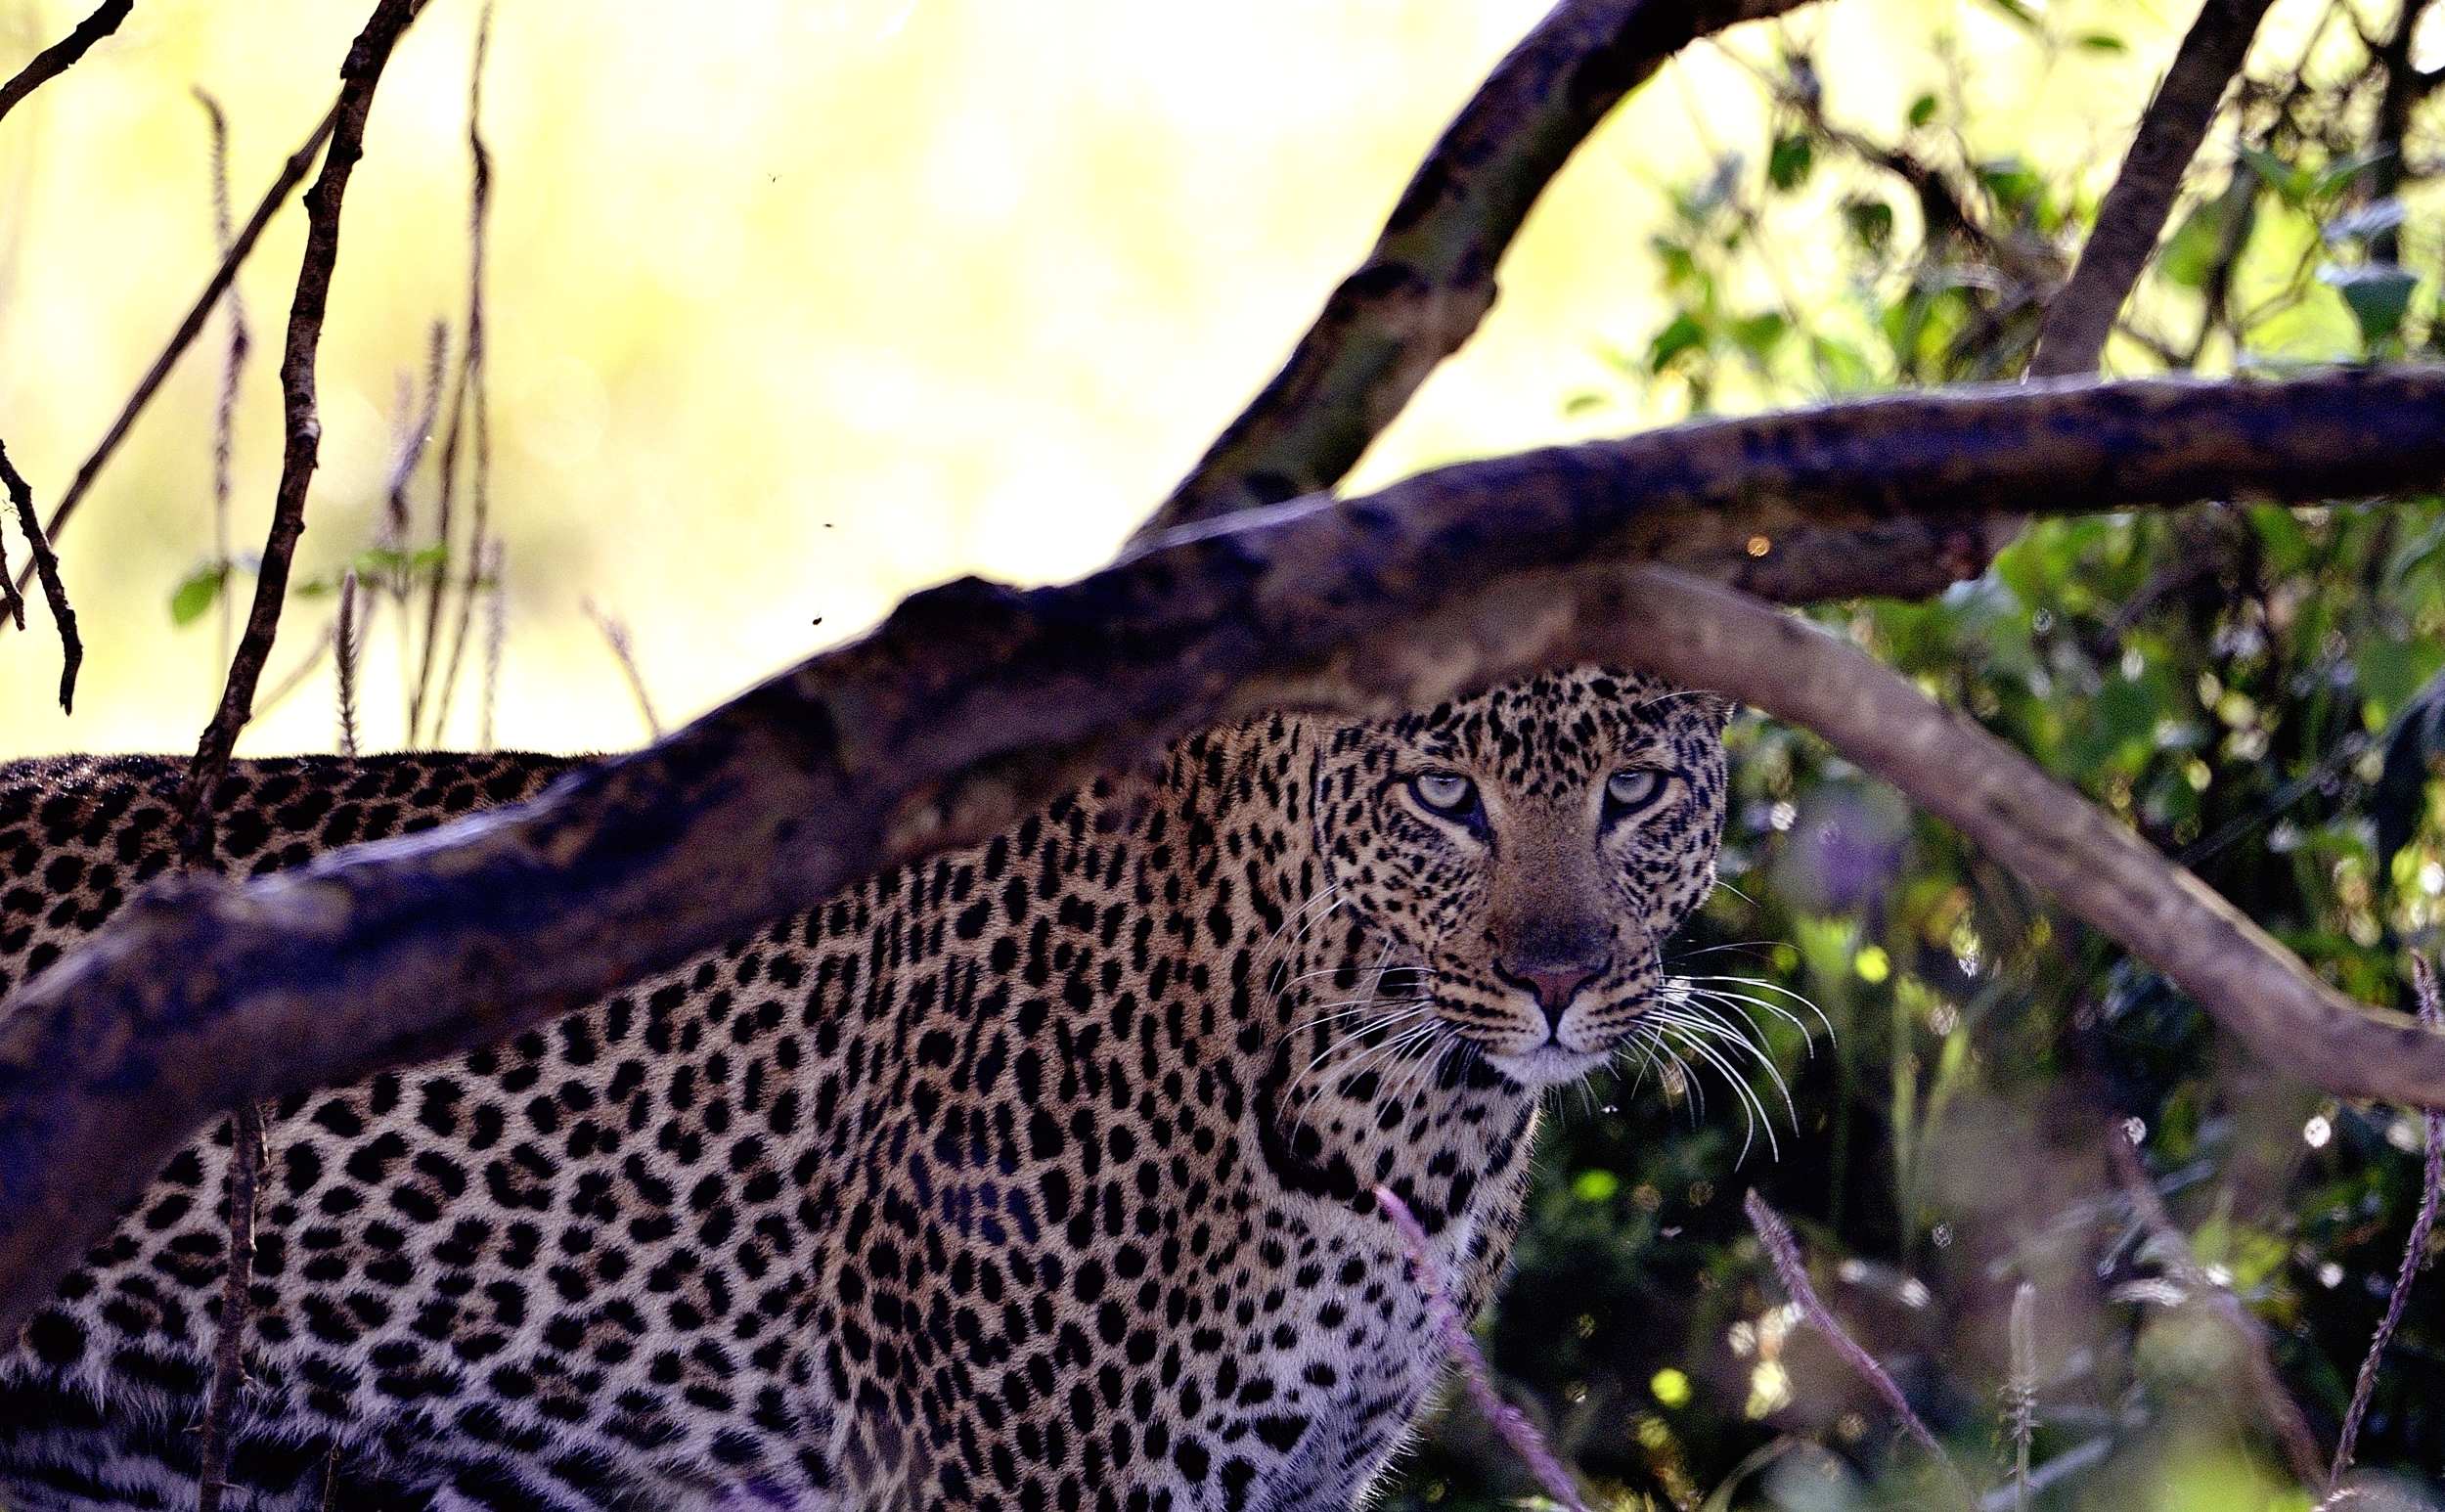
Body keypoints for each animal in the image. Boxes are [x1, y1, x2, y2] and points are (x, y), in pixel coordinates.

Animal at [0, 665, 1731, 1512]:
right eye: (1444, 797)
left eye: (1636, 790)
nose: (1560, 976)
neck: (1409, 1118)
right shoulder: (1020, 1477)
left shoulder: (1310, 1478)